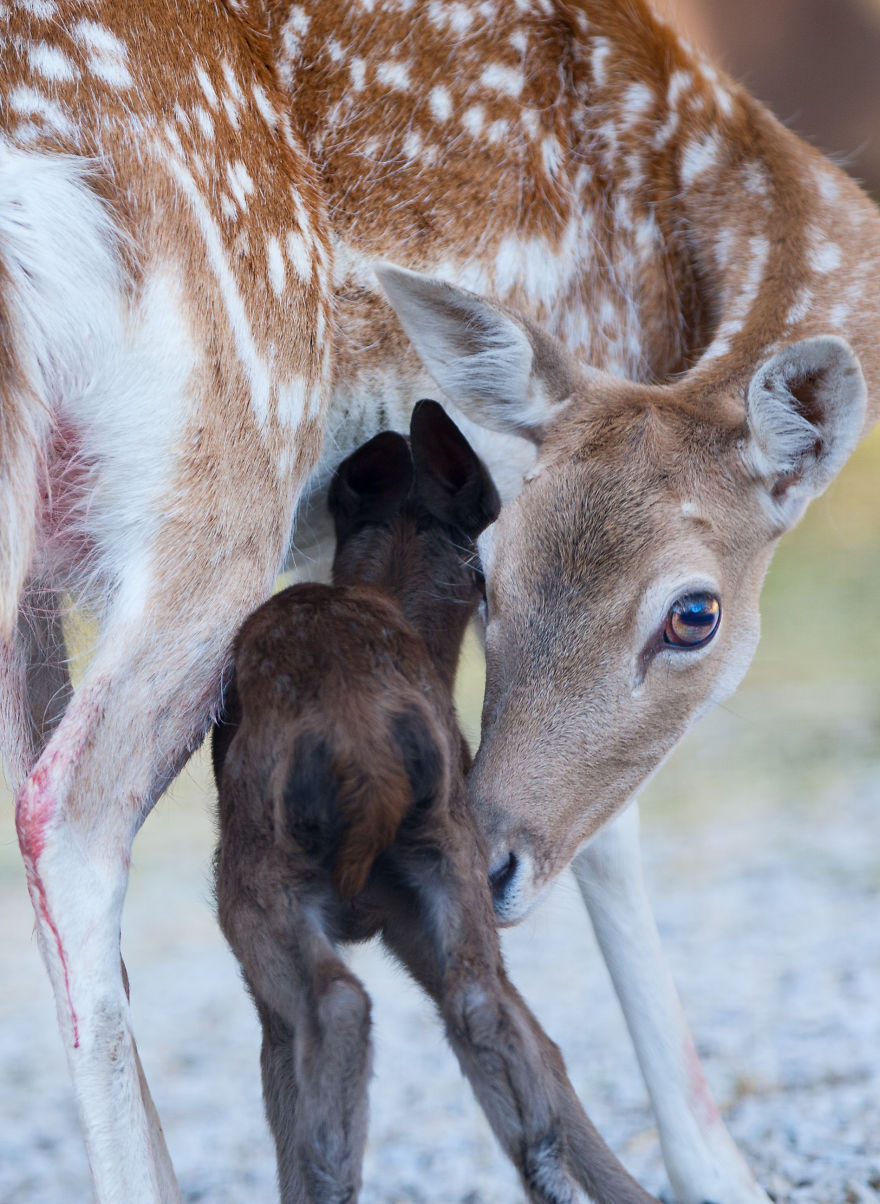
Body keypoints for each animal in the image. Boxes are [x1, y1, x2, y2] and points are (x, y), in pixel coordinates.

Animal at [212, 399, 658, 1204]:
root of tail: (361, 742)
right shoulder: (425, 918)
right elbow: (548, 1060)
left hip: (254, 894)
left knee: (338, 1012)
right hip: (448, 860)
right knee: (488, 1012)